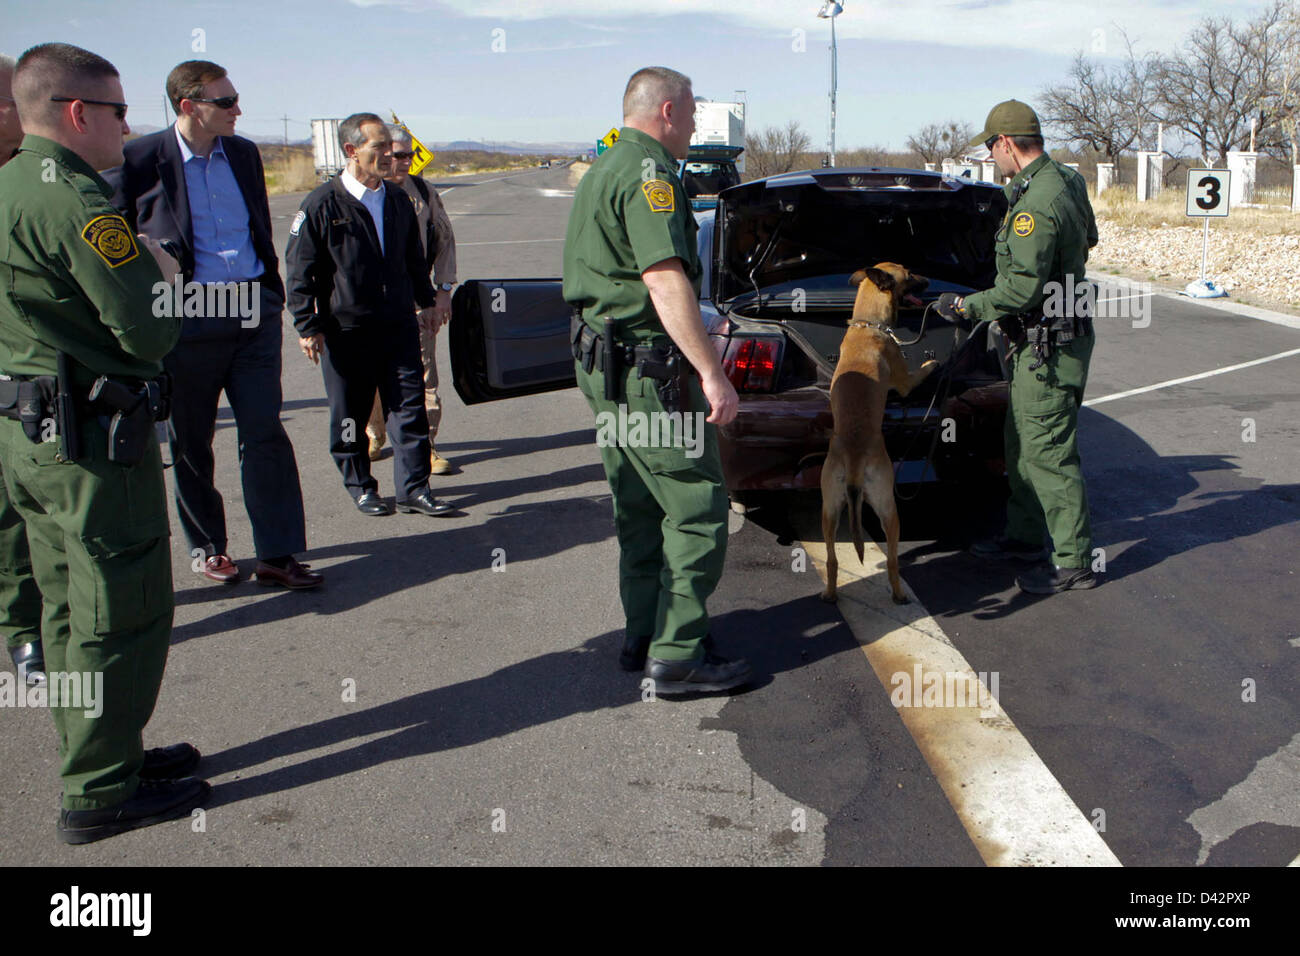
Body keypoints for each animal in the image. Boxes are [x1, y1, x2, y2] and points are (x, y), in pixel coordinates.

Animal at [816, 261, 941, 606]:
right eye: (909, 275)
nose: (929, 281)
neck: (866, 325)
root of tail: (855, 460)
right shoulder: (905, 380)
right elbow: (918, 373)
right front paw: (933, 363)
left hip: (828, 510)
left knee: (831, 559)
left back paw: (830, 593)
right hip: (889, 508)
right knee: (894, 561)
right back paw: (898, 593)